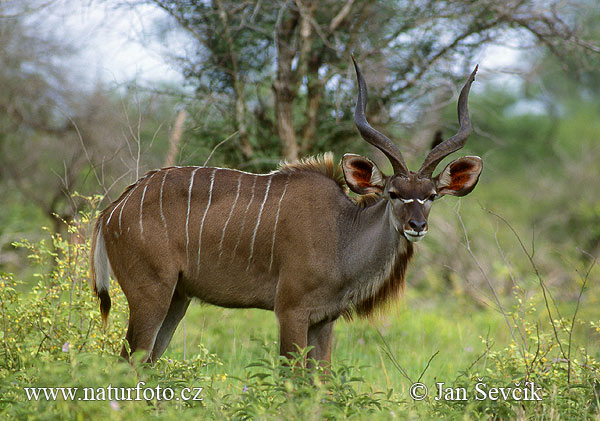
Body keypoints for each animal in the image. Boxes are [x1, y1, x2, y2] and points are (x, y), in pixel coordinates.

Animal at [89, 57, 482, 362]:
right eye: (394, 193)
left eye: (431, 195)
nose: (417, 226)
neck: (342, 231)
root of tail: (112, 210)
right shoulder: (290, 311)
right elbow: (292, 380)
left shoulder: (324, 320)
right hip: (151, 295)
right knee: (129, 361)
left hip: (177, 298)